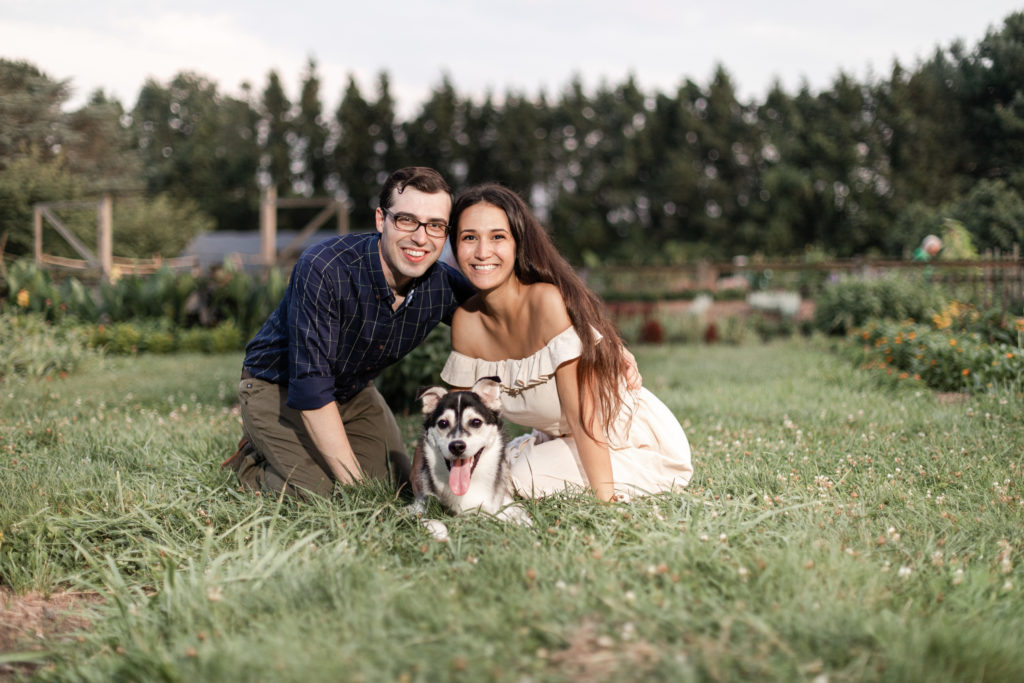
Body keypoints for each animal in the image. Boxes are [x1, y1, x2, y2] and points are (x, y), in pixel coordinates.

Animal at [407, 376, 532, 536]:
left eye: (476, 422)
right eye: (443, 423)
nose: (457, 446)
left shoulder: (506, 503)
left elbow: (519, 514)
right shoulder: (417, 506)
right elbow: (428, 520)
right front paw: (441, 534)